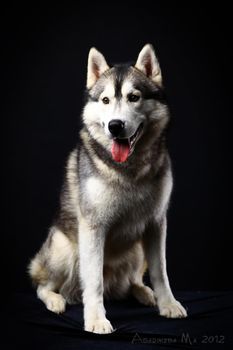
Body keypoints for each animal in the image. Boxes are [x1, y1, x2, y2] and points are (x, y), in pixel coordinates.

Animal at [28, 43, 187, 334]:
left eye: (134, 97)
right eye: (105, 100)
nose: (115, 126)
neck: (130, 170)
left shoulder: (157, 223)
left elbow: (161, 271)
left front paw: (168, 304)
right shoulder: (93, 227)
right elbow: (94, 281)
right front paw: (96, 319)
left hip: (136, 251)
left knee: (132, 281)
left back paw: (143, 292)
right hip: (63, 249)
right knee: (43, 285)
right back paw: (55, 300)